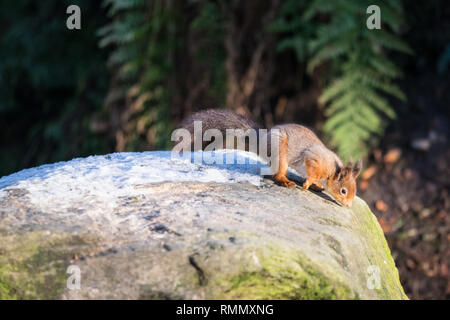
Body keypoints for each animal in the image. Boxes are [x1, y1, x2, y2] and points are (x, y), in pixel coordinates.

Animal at [179, 109, 362, 206]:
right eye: (344, 191)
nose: (348, 205)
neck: (333, 170)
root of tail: (262, 141)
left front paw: (315, 184)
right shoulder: (314, 159)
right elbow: (310, 170)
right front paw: (309, 183)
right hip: (279, 151)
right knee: (277, 174)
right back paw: (286, 181)